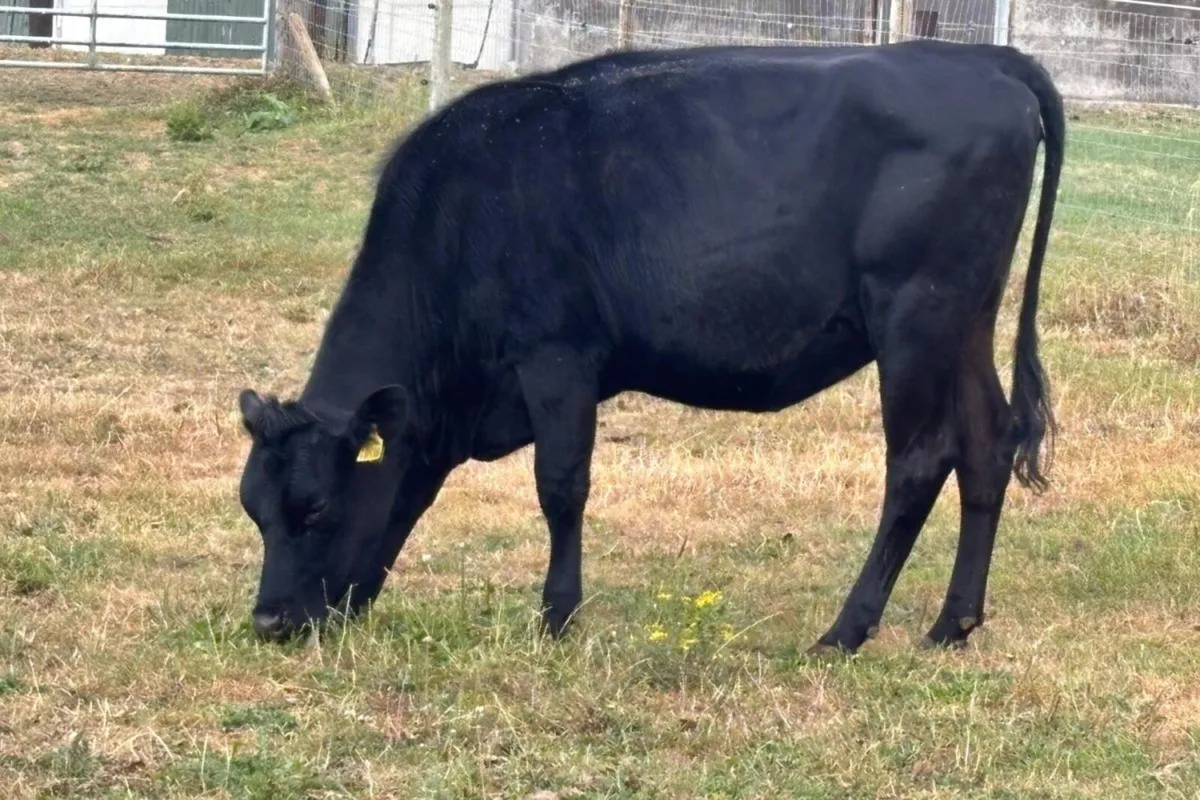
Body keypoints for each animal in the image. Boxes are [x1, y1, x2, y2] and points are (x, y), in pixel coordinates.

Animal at [236, 38, 1064, 655]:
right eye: (254, 510)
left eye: (315, 507)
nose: (269, 621)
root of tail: (977, 58)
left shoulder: (557, 354)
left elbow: (561, 485)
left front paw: (557, 617)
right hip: (965, 319)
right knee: (987, 443)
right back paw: (953, 623)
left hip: (914, 313)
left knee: (919, 460)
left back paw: (846, 630)